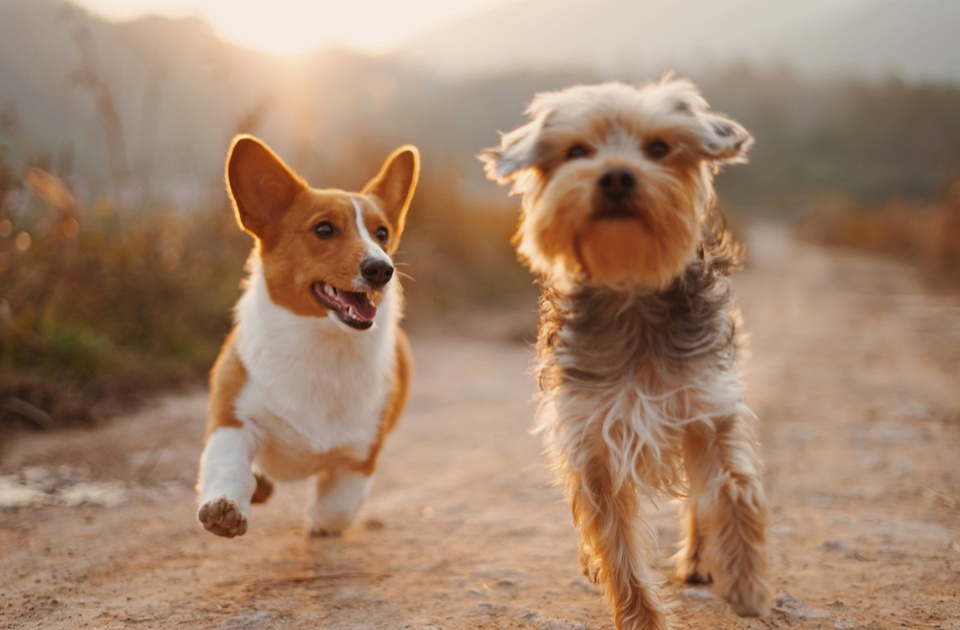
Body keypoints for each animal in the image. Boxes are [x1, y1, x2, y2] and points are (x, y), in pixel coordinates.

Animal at [197, 136, 418, 540]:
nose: (382, 269)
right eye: (324, 230)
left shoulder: (360, 457)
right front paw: (225, 506)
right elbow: (228, 465)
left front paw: (317, 521)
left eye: (381, 234)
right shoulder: (232, 418)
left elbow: (336, 507)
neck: (321, 343)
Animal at [480, 80, 772, 630]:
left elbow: (733, 487)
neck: (630, 288)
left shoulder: (707, 406)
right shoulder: (591, 437)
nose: (616, 175)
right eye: (577, 152)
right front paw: (641, 617)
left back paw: (700, 559)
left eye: (658, 148)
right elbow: (615, 542)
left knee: (698, 499)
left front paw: (745, 579)